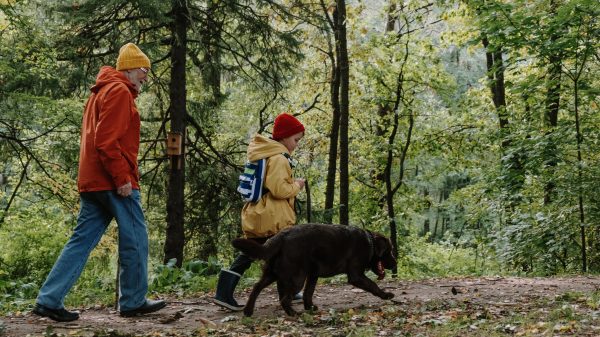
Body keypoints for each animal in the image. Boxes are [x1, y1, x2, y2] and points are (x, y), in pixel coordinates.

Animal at [232, 223, 396, 316]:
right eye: (389, 251)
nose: (395, 263)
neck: (370, 243)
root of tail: (281, 236)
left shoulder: (313, 275)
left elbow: (308, 293)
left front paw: (309, 307)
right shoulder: (356, 275)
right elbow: (373, 285)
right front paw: (386, 295)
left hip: (272, 273)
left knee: (256, 287)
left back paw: (248, 311)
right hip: (296, 278)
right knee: (284, 298)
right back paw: (293, 313)